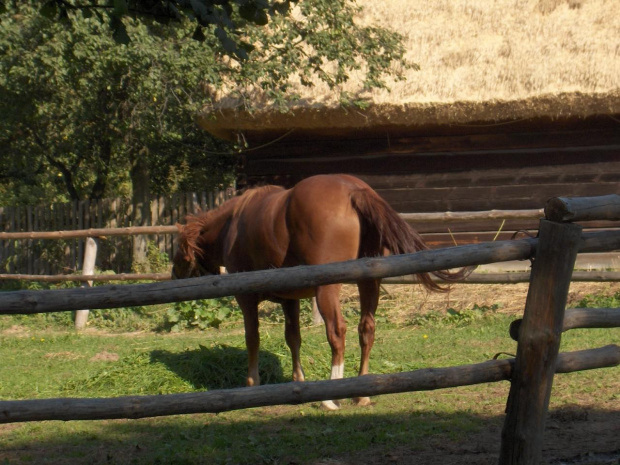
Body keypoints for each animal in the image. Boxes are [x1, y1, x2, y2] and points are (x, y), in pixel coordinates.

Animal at [172, 172, 468, 408]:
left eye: (179, 251)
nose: (175, 275)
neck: (232, 225)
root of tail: (354, 191)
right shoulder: (288, 299)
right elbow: (293, 338)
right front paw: (298, 381)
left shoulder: (246, 298)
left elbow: (252, 338)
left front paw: (252, 382)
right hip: (369, 281)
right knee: (366, 329)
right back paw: (361, 392)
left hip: (327, 289)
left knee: (337, 331)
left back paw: (331, 397)